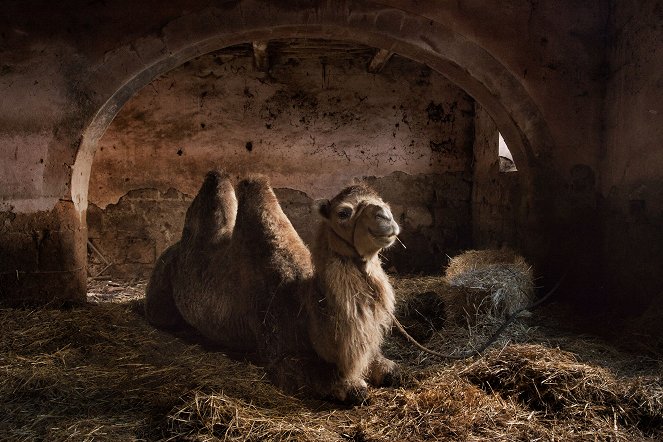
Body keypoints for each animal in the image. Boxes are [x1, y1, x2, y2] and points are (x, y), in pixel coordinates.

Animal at [147, 170, 400, 404]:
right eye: (344, 212)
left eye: (384, 203)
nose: (386, 217)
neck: (305, 308)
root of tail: (170, 249)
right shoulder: (279, 352)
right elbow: (344, 386)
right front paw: (351, 386)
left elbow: (392, 370)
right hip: (160, 289)